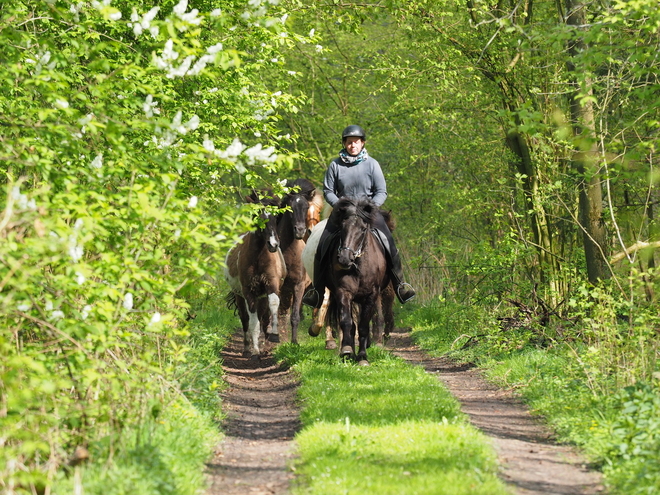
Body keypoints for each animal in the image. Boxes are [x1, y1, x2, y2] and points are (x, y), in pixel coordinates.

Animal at [224, 192, 286, 358]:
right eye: (258, 216)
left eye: (276, 218)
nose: (273, 244)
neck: (258, 257)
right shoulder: (248, 292)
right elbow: (252, 322)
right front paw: (255, 350)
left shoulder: (271, 285)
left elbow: (273, 305)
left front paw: (274, 336)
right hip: (239, 295)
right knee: (245, 319)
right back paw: (247, 348)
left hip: (261, 297)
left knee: (263, 317)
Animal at [324, 198, 390, 364]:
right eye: (342, 227)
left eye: (362, 229)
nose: (344, 259)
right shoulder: (343, 292)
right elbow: (347, 322)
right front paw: (347, 351)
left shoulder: (371, 296)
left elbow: (364, 326)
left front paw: (362, 356)